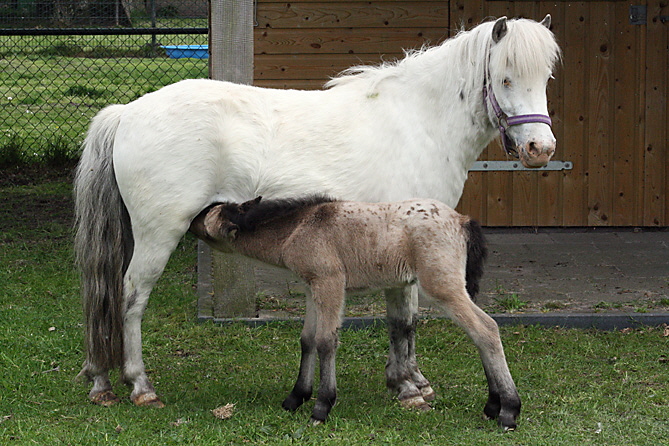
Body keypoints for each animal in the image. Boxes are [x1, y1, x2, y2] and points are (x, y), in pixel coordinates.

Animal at [188, 196, 520, 428]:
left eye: (206, 215)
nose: (190, 219)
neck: (299, 227)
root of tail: (463, 220)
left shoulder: (331, 282)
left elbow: (326, 341)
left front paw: (321, 406)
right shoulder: (311, 287)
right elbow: (307, 339)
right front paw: (295, 397)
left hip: (443, 286)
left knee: (486, 329)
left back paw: (509, 410)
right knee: (478, 333)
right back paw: (492, 406)